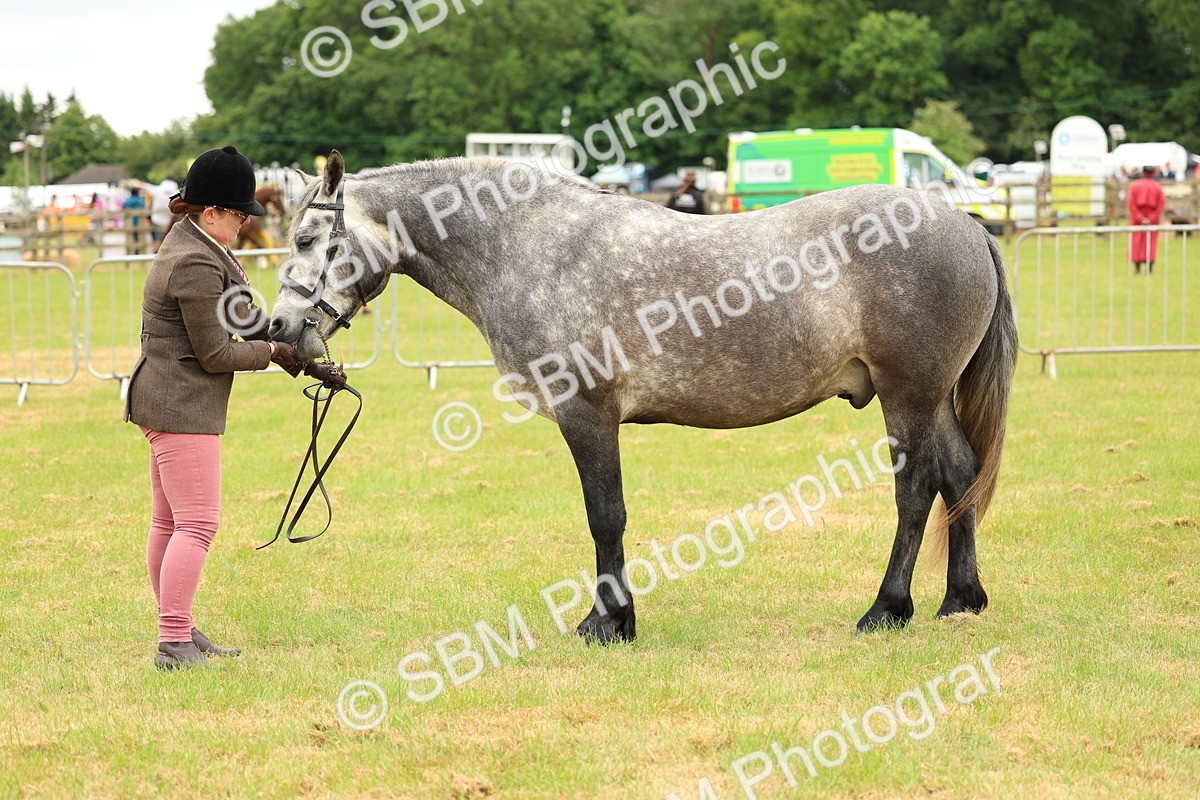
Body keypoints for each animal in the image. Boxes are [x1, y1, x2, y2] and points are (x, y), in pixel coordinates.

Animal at [267, 151, 1017, 643]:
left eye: (306, 238)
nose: (276, 329)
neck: (531, 247)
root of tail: (967, 224)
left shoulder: (587, 413)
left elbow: (606, 516)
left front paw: (609, 622)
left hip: (909, 397)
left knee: (916, 491)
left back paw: (888, 609)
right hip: (933, 399)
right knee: (960, 476)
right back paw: (961, 600)